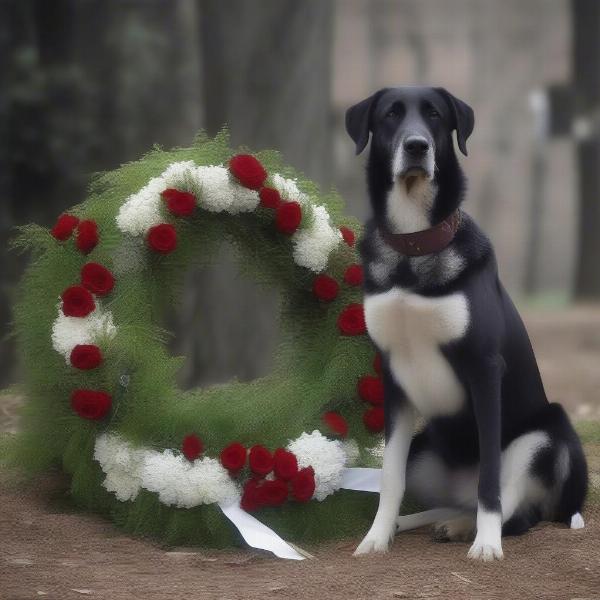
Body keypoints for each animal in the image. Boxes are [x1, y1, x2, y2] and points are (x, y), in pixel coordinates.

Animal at [350, 86, 588, 560]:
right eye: (390, 115)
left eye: (435, 116)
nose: (417, 146)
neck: (413, 247)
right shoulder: (392, 376)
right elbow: (389, 478)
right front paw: (377, 536)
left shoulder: (483, 369)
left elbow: (490, 480)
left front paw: (486, 544)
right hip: (424, 448)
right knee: (449, 501)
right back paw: (433, 522)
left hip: (544, 433)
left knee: (517, 512)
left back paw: (468, 528)